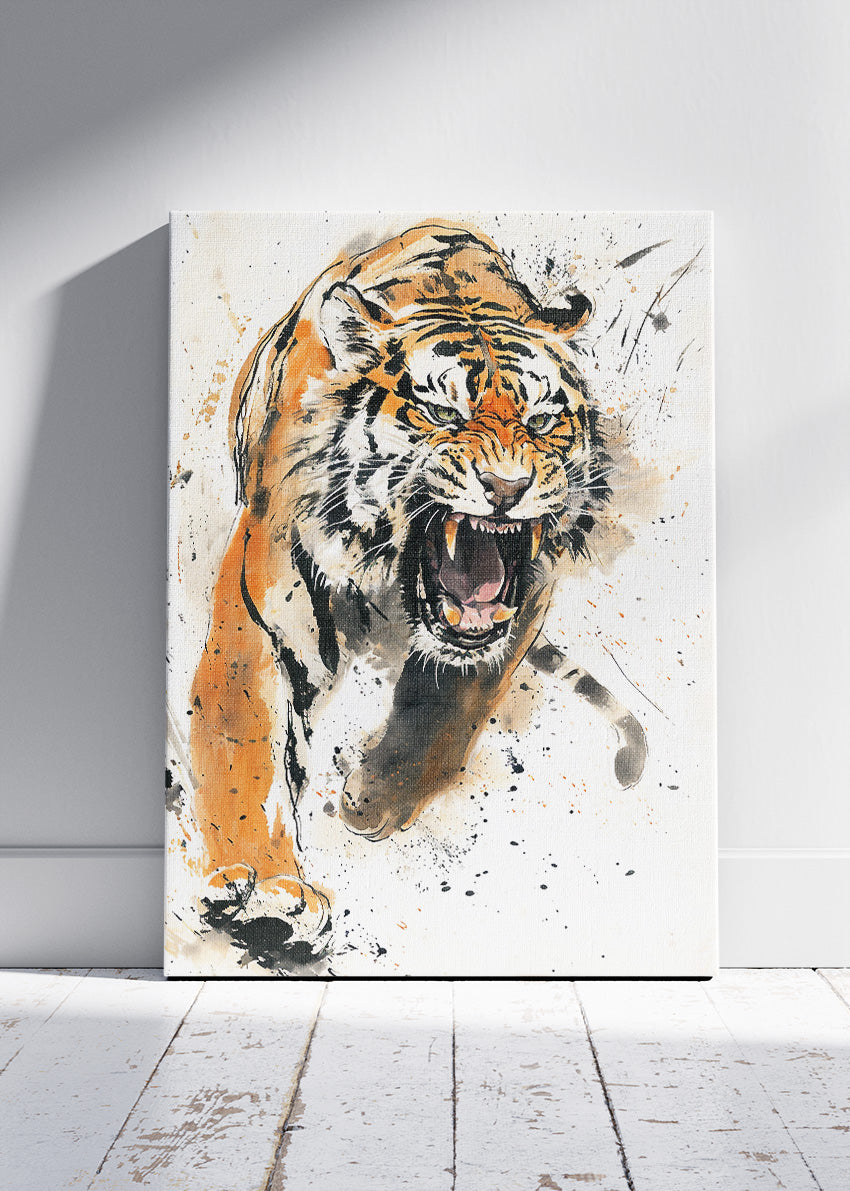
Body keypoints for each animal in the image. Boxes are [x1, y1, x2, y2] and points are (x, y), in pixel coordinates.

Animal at [186, 222, 647, 971]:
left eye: (543, 420)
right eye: (439, 411)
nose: (507, 486)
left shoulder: (519, 602)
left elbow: (445, 708)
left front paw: (372, 800)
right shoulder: (265, 609)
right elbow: (245, 745)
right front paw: (266, 891)